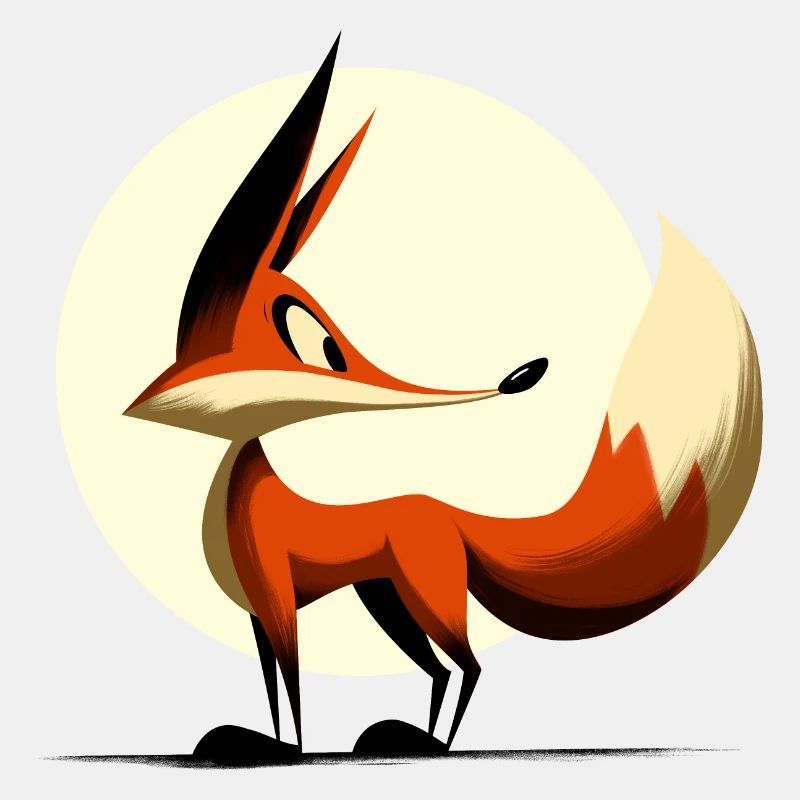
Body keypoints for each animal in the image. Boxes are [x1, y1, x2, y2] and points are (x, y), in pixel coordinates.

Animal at [124, 37, 762, 764]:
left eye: (318, 342)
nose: (164, 391)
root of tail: (447, 513)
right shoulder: (259, 615)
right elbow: (272, 688)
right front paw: (258, 740)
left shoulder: (278, 600)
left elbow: (292, 683)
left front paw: (286, 750)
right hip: (385, 598)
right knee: (439, 667)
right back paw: (403, 738)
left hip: (418, 593)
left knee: (469, 665)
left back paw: (429, 743)